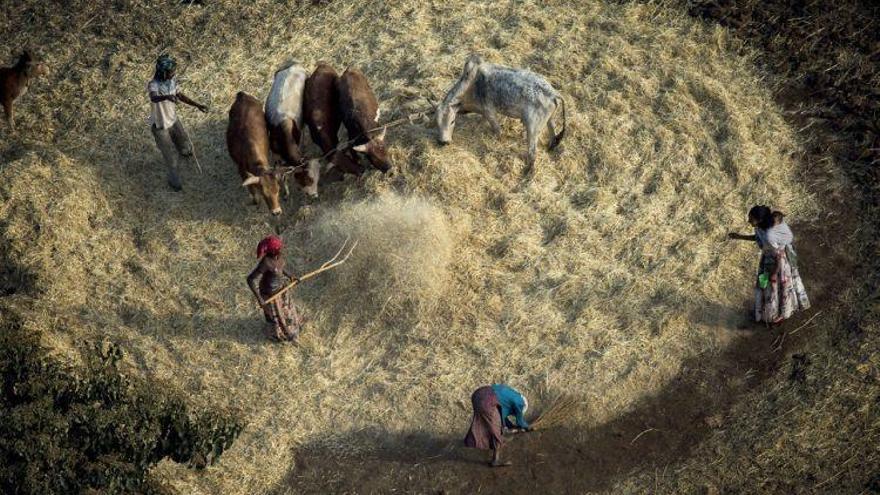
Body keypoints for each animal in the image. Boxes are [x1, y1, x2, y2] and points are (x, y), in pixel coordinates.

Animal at [436, 53, 568, 167]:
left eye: (452, 121)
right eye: (436, 123)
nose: (443, 142)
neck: (471, 84)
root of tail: (553, 93)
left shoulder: (489, 111)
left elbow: (498, 131)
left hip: (532, 128)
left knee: (532, 154)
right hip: (549, 120)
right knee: (553, 134)